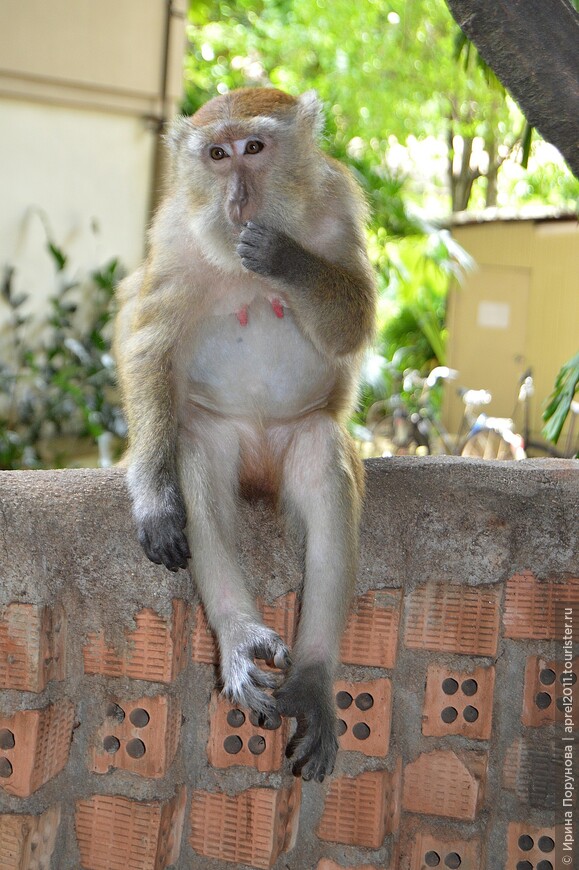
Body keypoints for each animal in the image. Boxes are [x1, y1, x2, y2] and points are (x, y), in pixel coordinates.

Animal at [115, 88, 378, 784]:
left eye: (254, 148)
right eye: (217, 154)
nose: (238, 199)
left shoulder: (339, 204)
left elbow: (355, 317)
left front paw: (287, 258)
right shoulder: (175, 234)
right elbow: (150, 347)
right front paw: (153, 500)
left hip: (294, 442)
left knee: (322, 458)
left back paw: (312, 677)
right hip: (224, 438)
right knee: (197, 456)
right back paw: (237, 637)